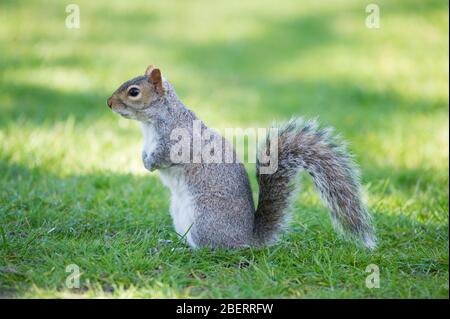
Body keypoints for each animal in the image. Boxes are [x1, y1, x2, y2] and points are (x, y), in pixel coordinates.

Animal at [106, 64, 376, 250]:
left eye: (133, 92)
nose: (108, 103)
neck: (150, 122)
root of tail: (246, 239)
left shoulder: (178, 142)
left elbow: (164, 155)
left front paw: (150, 164)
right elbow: (145, 150)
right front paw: (144, 159)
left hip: (205, 217)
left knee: (210, 248)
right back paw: (172, 243)